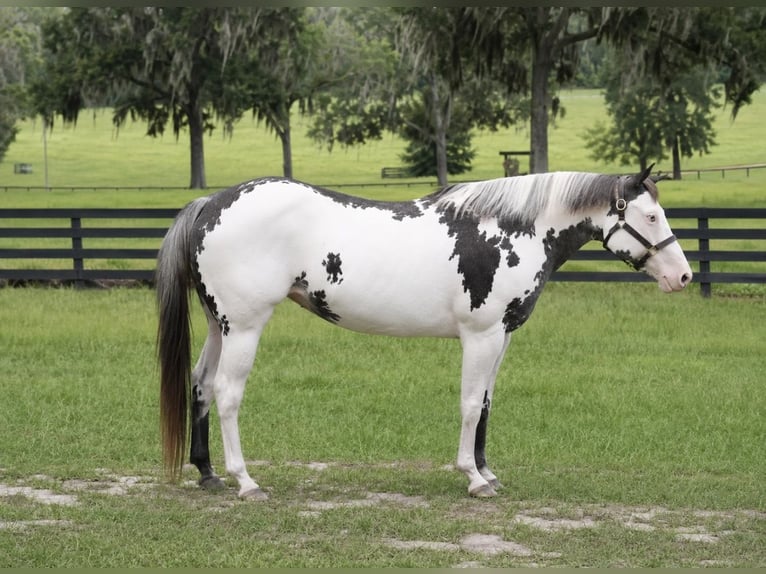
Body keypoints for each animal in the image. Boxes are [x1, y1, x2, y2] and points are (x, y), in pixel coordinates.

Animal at [156, 166, 692, 500]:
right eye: (650, 215)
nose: (682, 276)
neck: (508, 228)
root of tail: (212, 203)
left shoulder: (502, 336)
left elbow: (487, 404)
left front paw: (487, 471)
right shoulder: (481, 336)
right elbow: (470, 403)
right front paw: (473, 478)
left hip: (220, 326)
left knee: (201, 385)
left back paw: (207, 474)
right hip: (244, 326)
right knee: (227, 393)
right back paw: (245, 481)